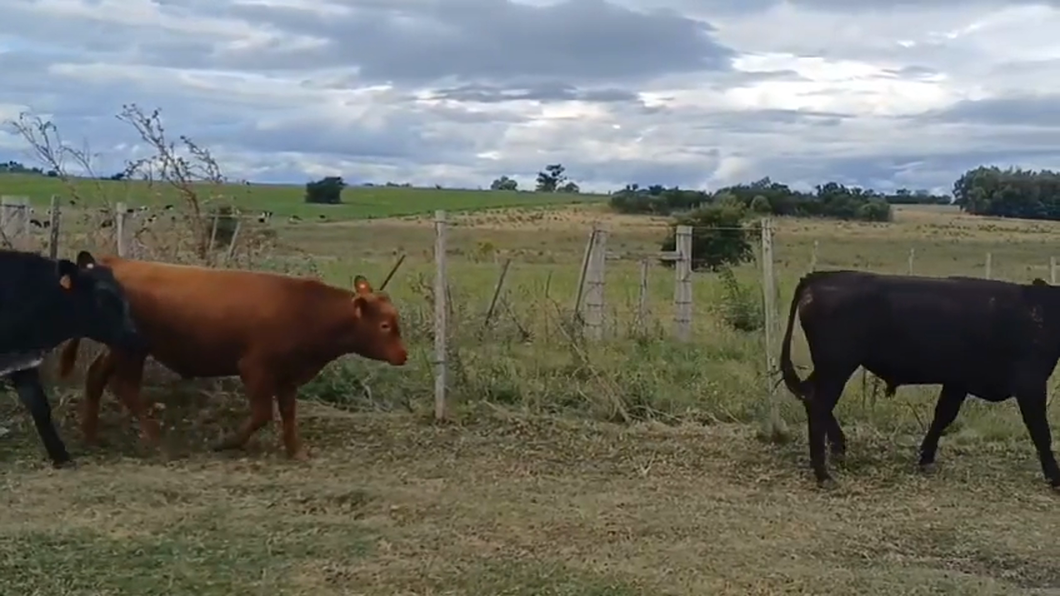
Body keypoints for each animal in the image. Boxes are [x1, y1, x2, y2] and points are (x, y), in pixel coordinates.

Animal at [56, 252, 409, 456]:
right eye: (385, 325)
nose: (404, 355)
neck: (308, 310)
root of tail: (113, 262)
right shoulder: (255, 367)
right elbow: (262, 414)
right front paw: (227, 442)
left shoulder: (288, 375)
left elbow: (289, 413)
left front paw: (295, 450)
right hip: (131, 351)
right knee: (126, 388)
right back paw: (157, 440)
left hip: (121, 349)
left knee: (97, 378)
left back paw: (91, 436)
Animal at [780, 269, 1060, 487]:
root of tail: (820, 276)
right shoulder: (1030, 383)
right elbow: (1041, 431)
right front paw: (1055, 477)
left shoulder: (958, 381)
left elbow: (943, 416)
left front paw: (926, 458)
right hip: (836, 366)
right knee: (818, 404)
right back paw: (824, 474)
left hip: (830, 368)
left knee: (810, 397)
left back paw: (838, 449)